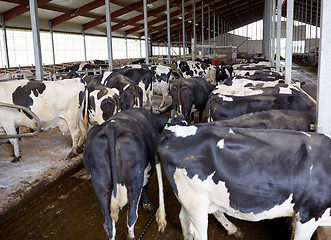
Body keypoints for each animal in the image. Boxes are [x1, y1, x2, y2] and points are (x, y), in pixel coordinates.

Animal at [83, 108, 187, 240]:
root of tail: (111, 126)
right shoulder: (148, 169)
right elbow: (146, 185)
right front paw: (147, 204)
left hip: (100, 185)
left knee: (108, 222)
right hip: (134, 182)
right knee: (132, 214)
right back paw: (131, 235)